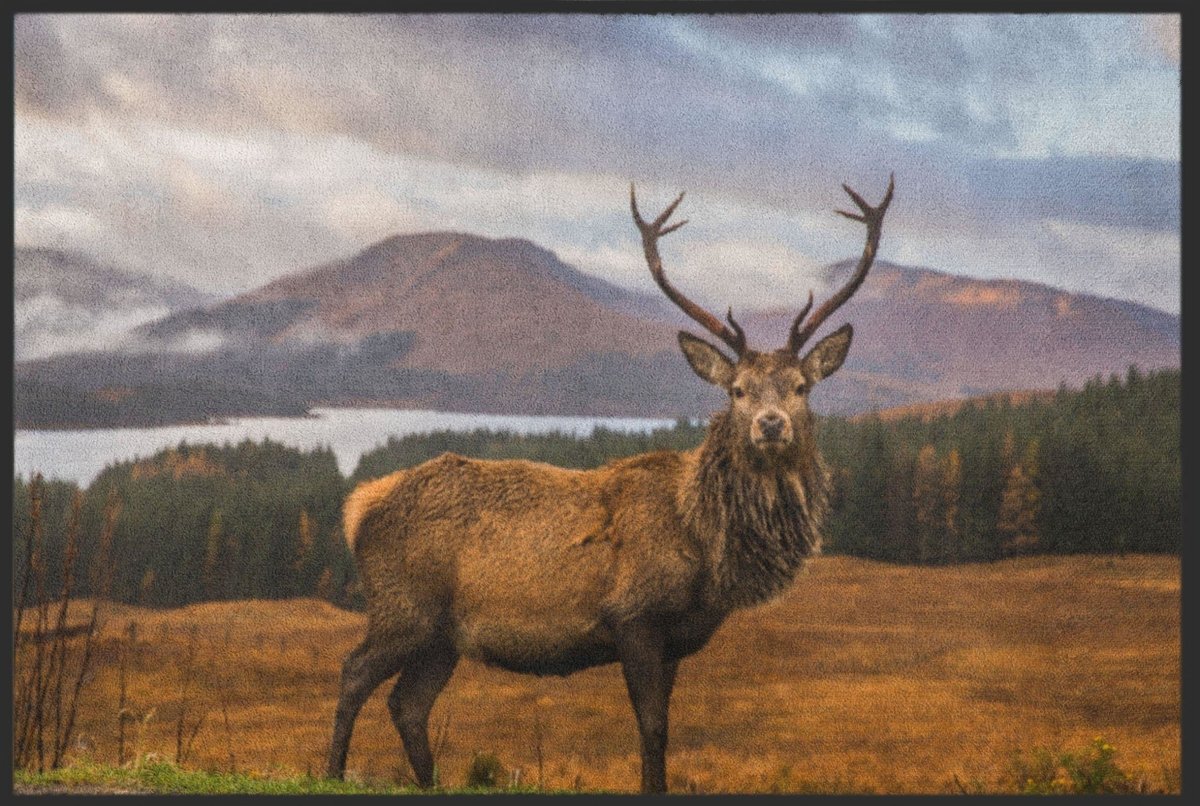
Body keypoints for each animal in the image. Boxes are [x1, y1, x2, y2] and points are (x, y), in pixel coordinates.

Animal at [326, 175, 894, 793]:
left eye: (801, 387)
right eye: (737, 390)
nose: (771, 424)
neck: (704, 545)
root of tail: (360, 506)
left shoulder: (675, 639)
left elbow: (663, 727)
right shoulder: (633, 615)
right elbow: (650, 726)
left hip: (442, 635)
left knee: (408, 704)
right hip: (402, 606)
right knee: (353, 672)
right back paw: (332, 772)